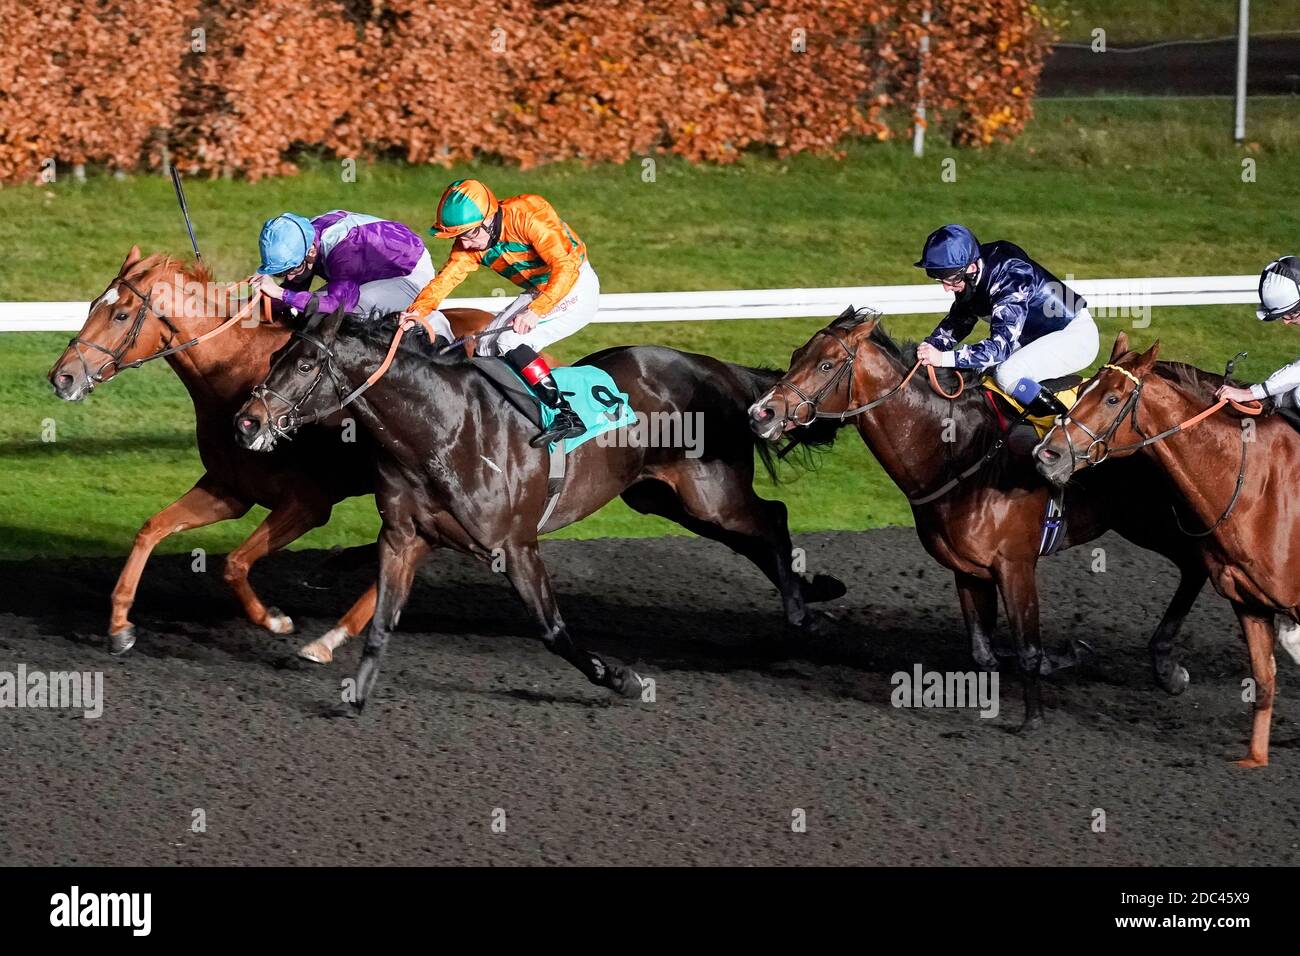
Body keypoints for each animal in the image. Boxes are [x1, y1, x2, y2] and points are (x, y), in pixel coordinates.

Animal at [45, 247, 501, 660]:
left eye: (120, 315)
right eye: (91, 305)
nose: (61, 377)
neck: (235, 376)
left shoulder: (308, 503)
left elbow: (234, 563)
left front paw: (274, 619)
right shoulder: (230, 490)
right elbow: (151, 529)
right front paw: (120, 626)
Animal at [748, 306, 1211, 733]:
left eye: (826, 364)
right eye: (796, 354)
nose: (761, 413)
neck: (957, 453)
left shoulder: (1015, 564)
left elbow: (1027, 647)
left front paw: (1033, 719)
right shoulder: (968, 569)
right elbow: (984, 650)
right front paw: (1056, 661)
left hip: (1158, 519)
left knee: (1198, 563)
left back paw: (1167, 666)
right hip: (1142, 521)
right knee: (1194, 564)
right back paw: (1166, 668)